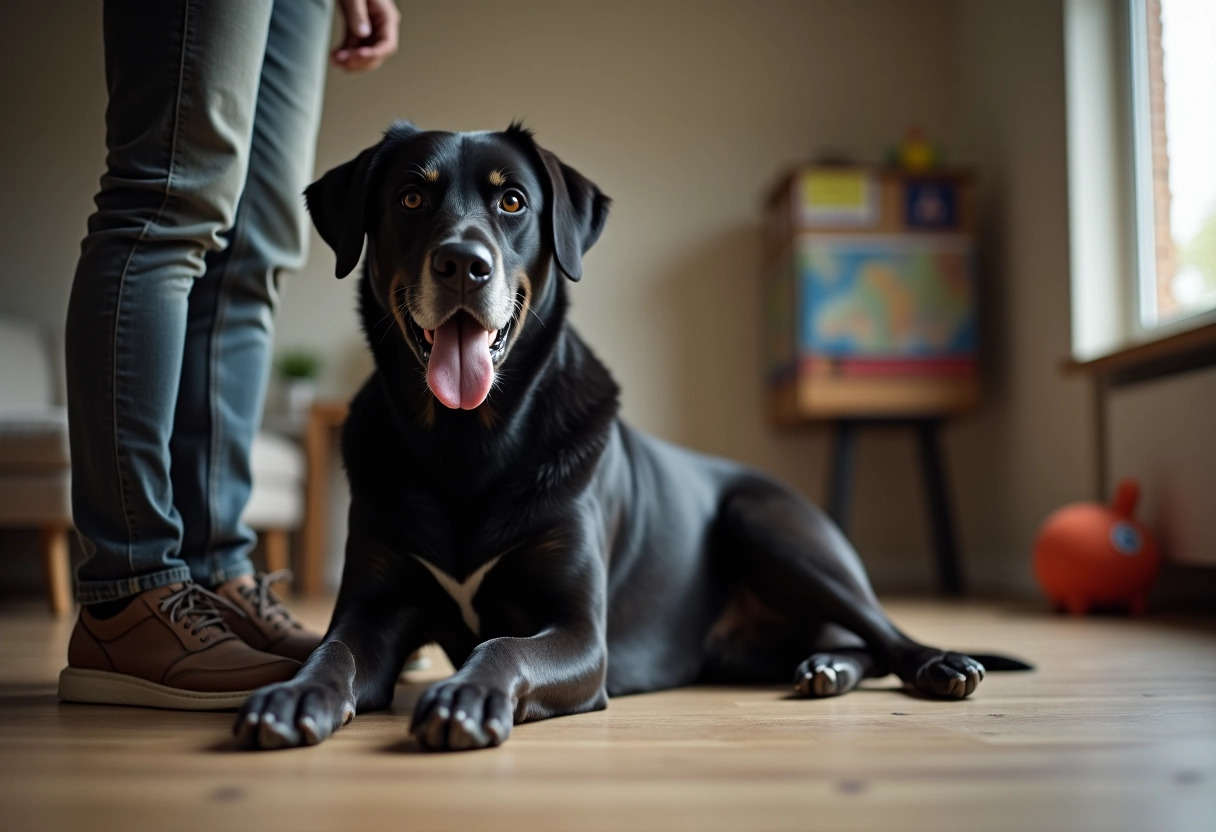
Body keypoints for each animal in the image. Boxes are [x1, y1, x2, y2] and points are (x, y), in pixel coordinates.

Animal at [232, 125, 1021, 754]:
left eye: (511, 202)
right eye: (409, 199)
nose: (463, 264)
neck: (466, 441)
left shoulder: (582, 633)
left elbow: (501, 646)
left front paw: (465, 695)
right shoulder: (372, 609)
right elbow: (334, 651)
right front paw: (293, 694)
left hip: (773, 527)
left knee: (883, 632)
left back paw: (938, 664)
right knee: (849, 644)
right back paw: (825, 669)